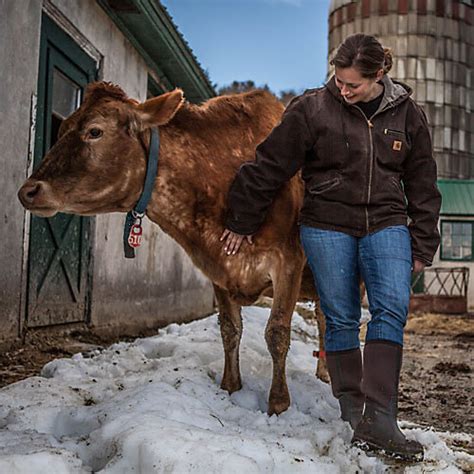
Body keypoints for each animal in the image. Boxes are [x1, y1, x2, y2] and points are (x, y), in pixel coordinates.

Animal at [19, 83, 330, 416]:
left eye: (95, 131)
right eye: (63, 126)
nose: (28, 191)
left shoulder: (288, 262)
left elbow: (277, 332)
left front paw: (279, 404)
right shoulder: (218, 270)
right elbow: (230, 330)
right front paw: (230, 387)